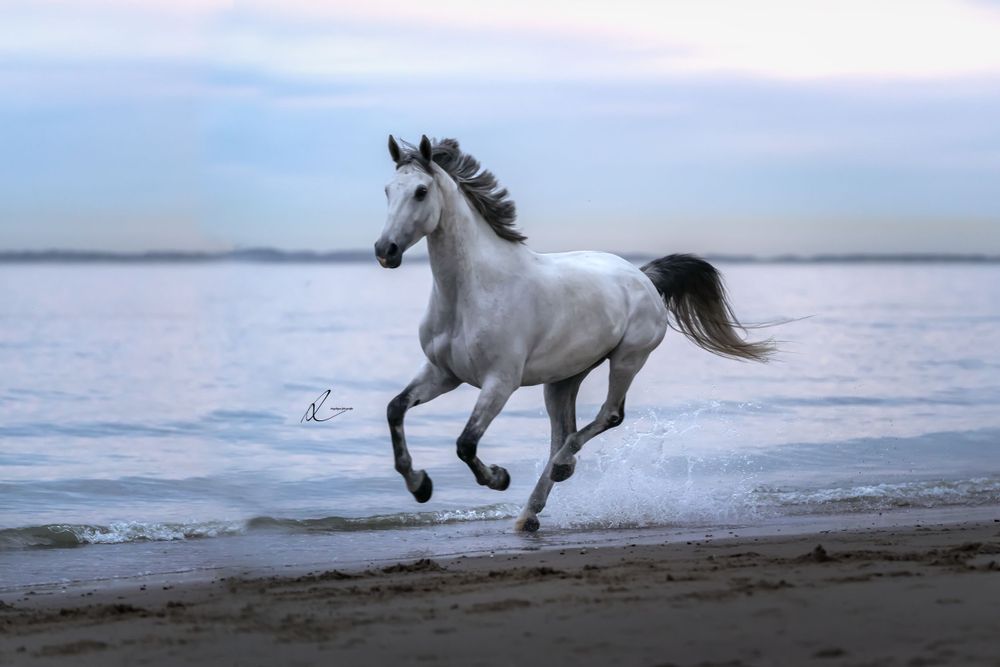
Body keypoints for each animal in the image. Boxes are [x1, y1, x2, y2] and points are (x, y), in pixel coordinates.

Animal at [374, 134, 774, 532]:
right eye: (388, 190)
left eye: (421, 191)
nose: (385, 250)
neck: (470, 294)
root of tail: (643, 276)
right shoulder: (444, 373)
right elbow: (396, 409)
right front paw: (420, 486)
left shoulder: (500, 381)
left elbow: (465, 443)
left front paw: (498, 477)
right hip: (564, 378)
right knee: (562, 433)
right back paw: (530, 512)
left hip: (628, 358)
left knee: (609, 416)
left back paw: (562, 468)